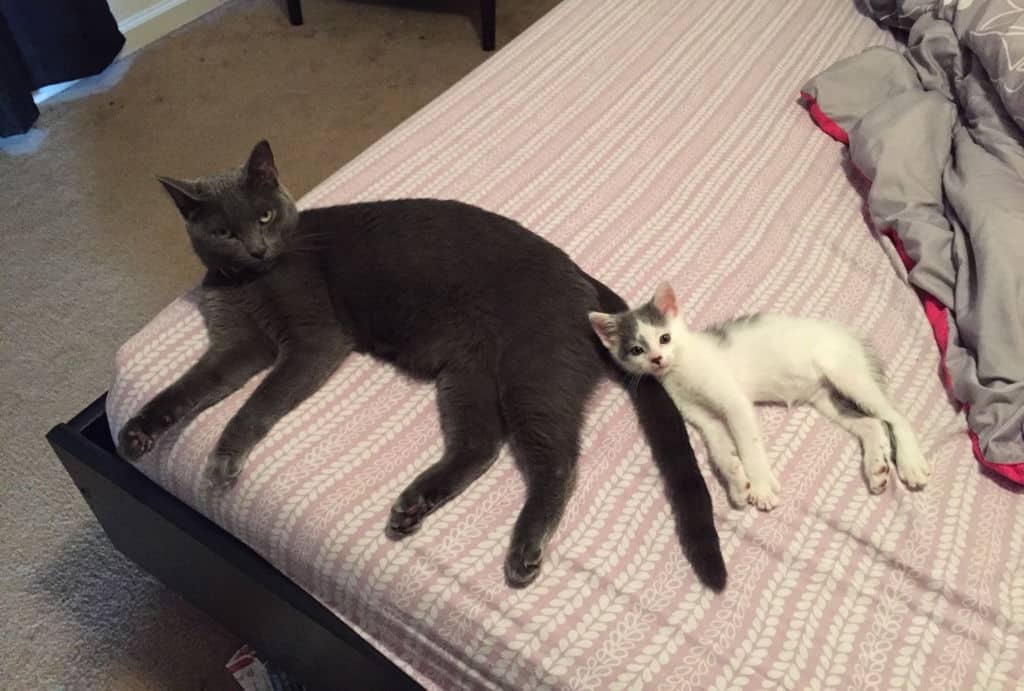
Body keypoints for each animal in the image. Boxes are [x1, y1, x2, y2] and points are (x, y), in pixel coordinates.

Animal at [117, 140, 729, 589]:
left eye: (265, 215)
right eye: (223, 231)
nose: (256, 248)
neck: (247, 284)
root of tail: (587, 283)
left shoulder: (313, 342)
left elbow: (257, 402)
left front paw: (223, 461)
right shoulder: (235, 346)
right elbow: (186, 387)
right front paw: (138, 432)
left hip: (530, 372)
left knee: (557, 461)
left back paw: (524, 549)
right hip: (467, 374)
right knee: (480, 446)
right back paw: (414, 505)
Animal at [589, 282, 933, 513]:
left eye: (664, 337)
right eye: (637, 349)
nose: (658, 359)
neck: (681, 369)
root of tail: (851, 336)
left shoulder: (733, 402)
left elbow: (748, 444)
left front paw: (761, 487)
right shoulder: (700, 416)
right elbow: (720, 449)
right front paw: (737, 483)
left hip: (846, 375)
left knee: (894, 416)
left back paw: (911, 463)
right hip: (827, 399)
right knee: (872, 424)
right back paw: (876, 468)